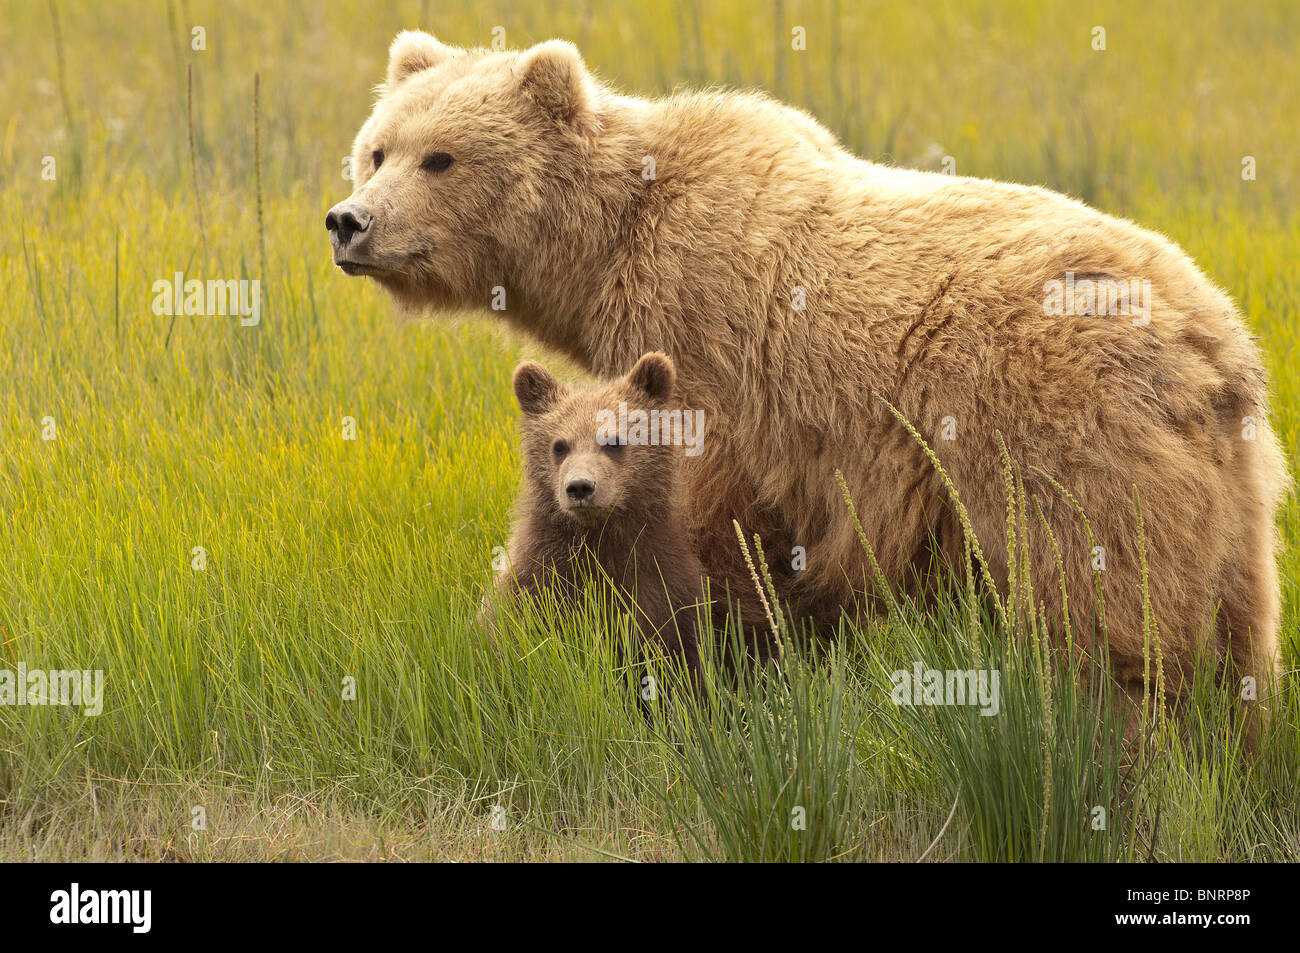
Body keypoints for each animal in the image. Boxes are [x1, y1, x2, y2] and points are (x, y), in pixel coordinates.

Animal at [490, 351, 709, 694]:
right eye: (559, 445)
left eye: (614, 441)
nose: (580, 486)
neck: (600, 537)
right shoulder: (537, 581)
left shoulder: (663, 585)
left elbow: (680, 659)